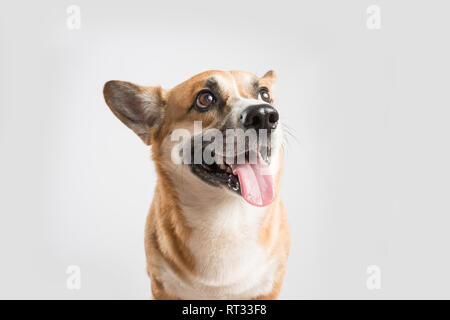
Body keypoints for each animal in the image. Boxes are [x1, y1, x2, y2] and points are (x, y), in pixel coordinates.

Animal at [103, 70, 290, 300]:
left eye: (264, 94)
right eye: (205, 99)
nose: (264, 114)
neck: (226, 217)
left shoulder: (268, 286)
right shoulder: (162, 286)